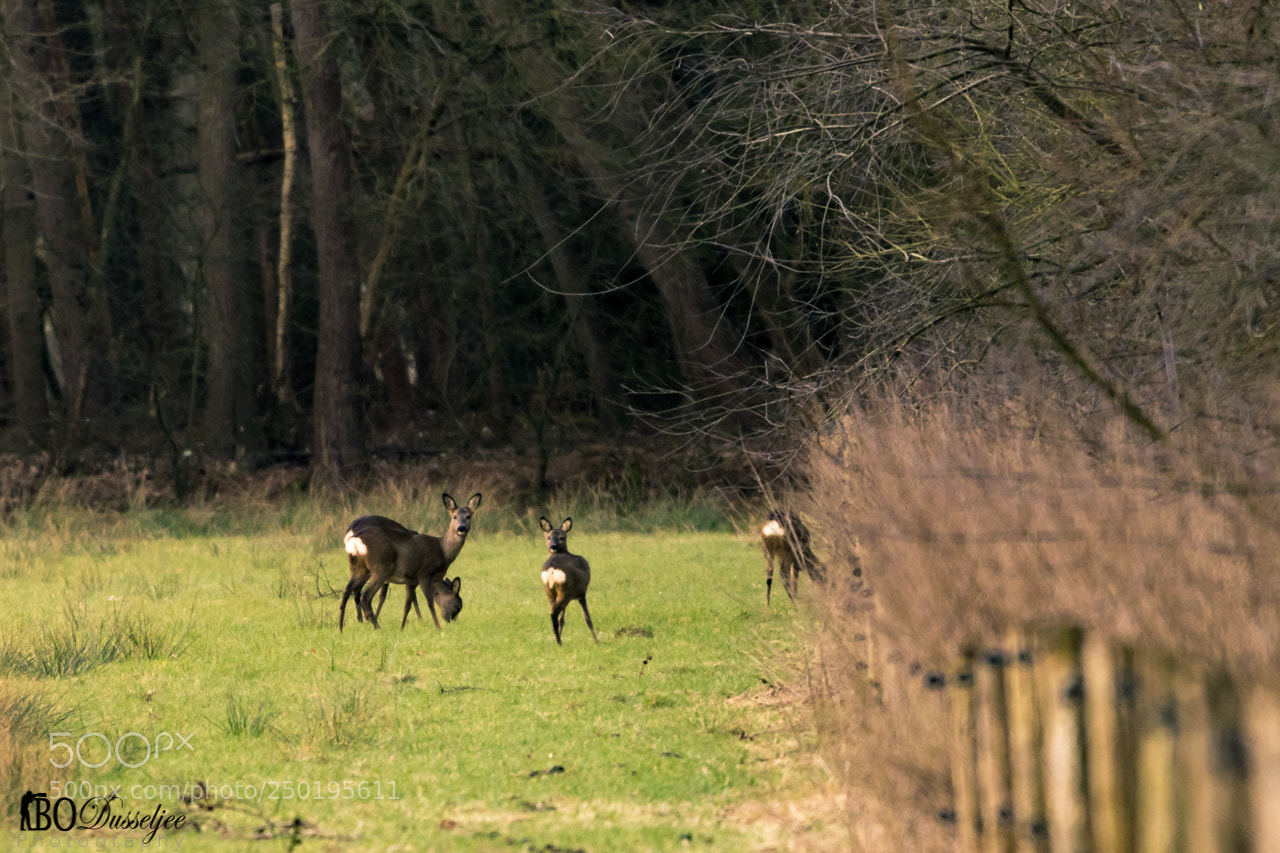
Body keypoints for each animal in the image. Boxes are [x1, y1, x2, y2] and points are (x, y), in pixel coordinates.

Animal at [339, 492, 481, 631]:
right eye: (455, 516)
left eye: (468, 516)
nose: (461, 528)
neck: (442, 550)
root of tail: (355, 538)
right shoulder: (424, 574)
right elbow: (429, 602)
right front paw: (438, 628)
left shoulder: (412, 580)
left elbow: (407, 605)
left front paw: (402, 629)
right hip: (380, 568)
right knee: (365, 596)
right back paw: (377, 627)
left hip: (359, 568)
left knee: (347, 590)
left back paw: (341, 628)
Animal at [539, 516, 598, 646]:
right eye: (548, 537)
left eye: (561, 537)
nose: (553, 546)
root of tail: (552, 570)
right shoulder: (581, 593)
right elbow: (587, 618)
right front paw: (597, 641)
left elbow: (562, 619)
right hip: (565, 591)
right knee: (553, 614)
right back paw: (559, 643)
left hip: (550, 591)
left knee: (554, 614)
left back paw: (558, 640)